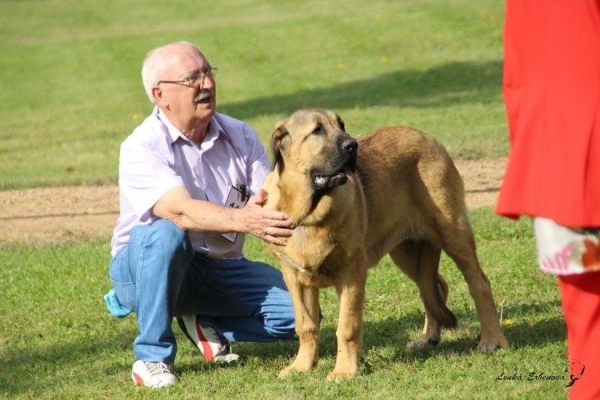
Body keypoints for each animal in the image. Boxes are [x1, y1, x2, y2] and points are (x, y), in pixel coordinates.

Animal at [262, 108, 506, 380]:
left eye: (341, 125)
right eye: (317, 131)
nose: (352, 145)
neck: (310, 214)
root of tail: (428, 138)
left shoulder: (351, 274)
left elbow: (347, 326)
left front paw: (344, 371)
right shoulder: (295, 277)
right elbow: (305, 326)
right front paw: (301, 367)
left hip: (453, 232)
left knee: (479, 284)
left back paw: (492, 340)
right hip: (408, 253)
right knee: (433, 287)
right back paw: (427, 338)